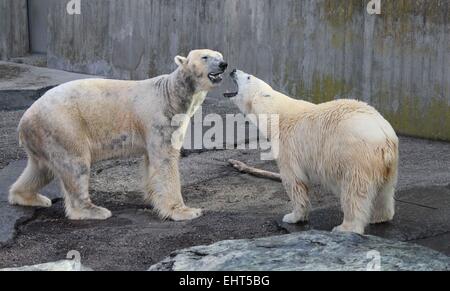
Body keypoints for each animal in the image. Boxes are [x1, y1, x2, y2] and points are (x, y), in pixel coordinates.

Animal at [9, 49, 229, 221]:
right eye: (205, 57)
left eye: (220, 55)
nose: (223, 64)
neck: (171, 93)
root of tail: (24, 120)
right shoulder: (160, 119)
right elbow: (166, 161)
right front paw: (185, 211)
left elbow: (150, 162)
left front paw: (152, 199)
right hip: (64, 126)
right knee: (75, 165)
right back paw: (95, 211)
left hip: (44, 136)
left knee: (41, 169)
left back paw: (29, 197)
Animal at [225, 70, 398, 235]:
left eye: (248, 76)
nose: (232, 70)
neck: (277, 114)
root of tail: (384, 134)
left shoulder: (288, 146)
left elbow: (294, 181)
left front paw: (293, 217)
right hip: (387, 161)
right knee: (385, 191)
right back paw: (380, 217)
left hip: (356, 155)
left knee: (354, 190)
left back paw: (346, 227)